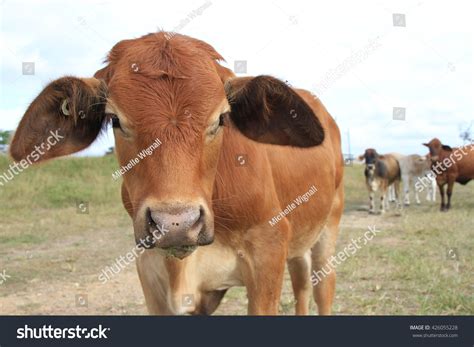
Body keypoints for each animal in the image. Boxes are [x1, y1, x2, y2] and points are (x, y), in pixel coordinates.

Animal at [10, 32, 344, 316]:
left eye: (221, 118)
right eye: (115, 119)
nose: (175, 224)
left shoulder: (267, 254)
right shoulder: (150, 271)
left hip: (329, 227)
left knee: (322, 287)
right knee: (301, 283)